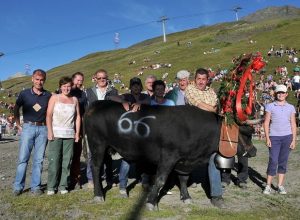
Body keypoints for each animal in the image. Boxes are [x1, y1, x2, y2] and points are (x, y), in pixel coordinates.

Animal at [85, 100, 255, 209]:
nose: (254, 151)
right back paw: (98, 195)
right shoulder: (168, 157)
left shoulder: (184, 161)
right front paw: (151, 202)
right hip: (97, 145)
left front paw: (186, 197)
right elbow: (160, 180)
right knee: (95, 167)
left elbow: (183, 179)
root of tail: (99, 103)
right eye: (246, 133)